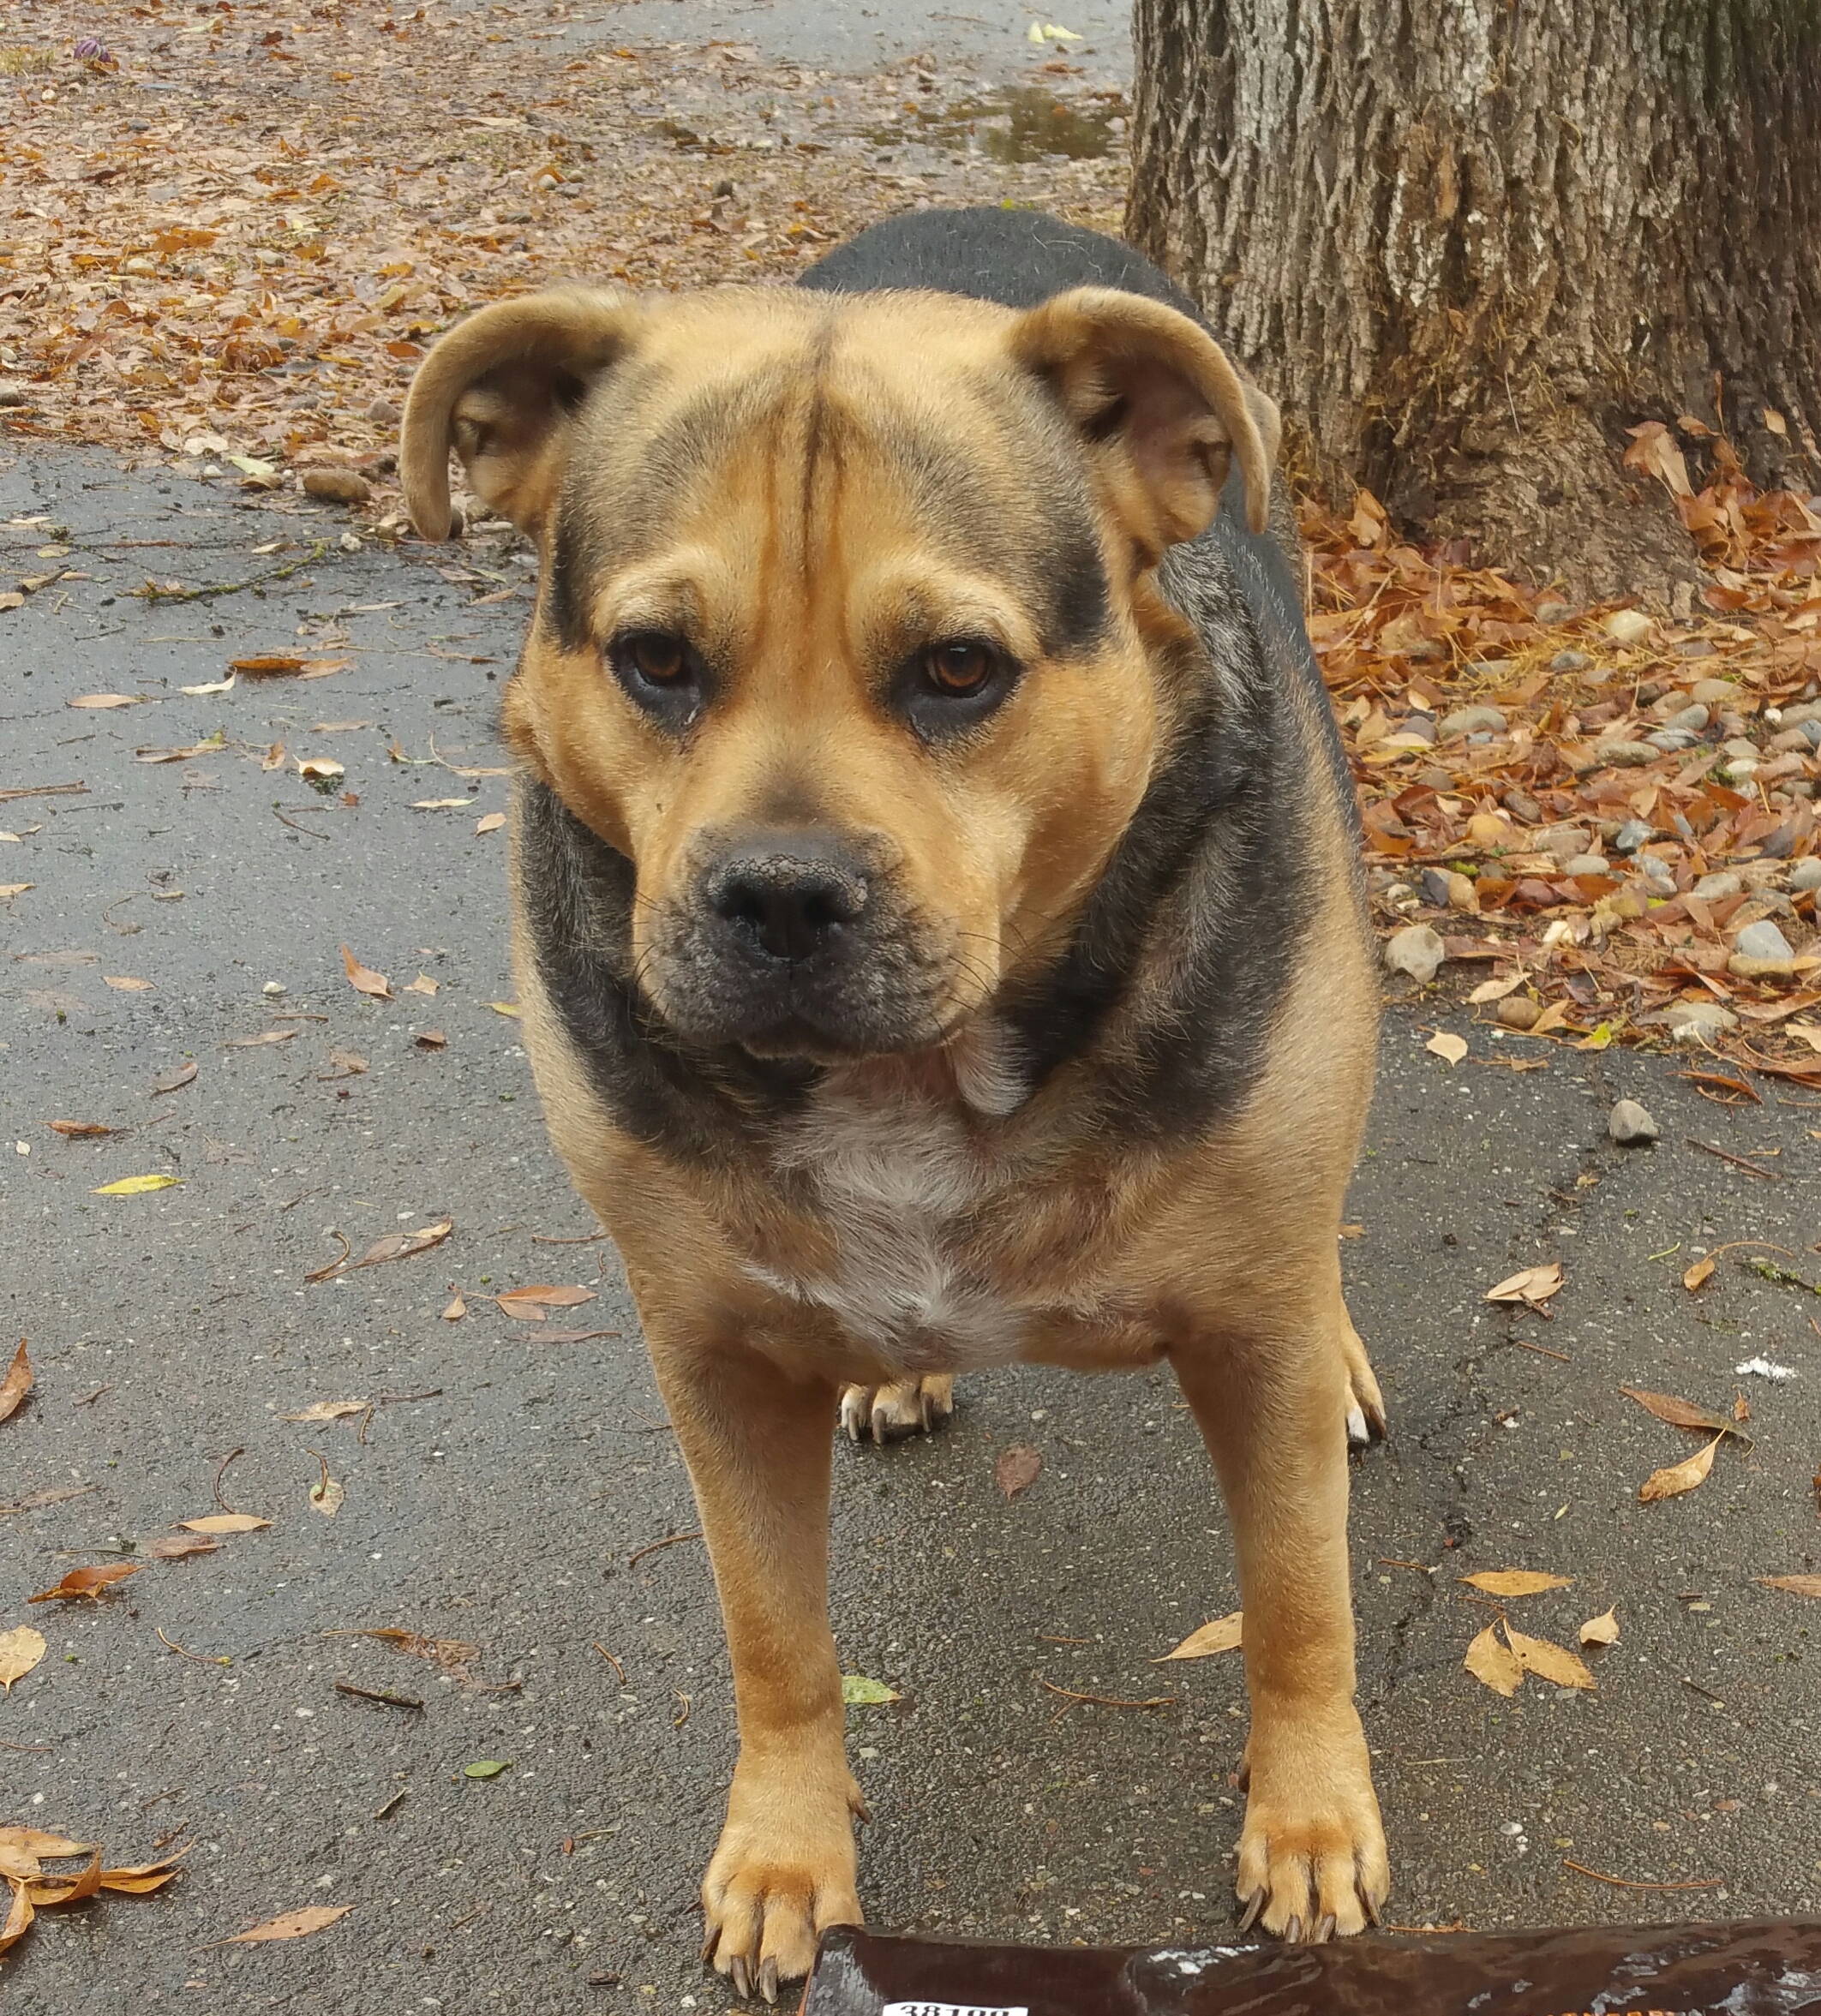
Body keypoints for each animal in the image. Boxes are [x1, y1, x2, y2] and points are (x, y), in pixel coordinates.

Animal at [405, 204, 1387, 2000]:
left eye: (957, 669)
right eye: (655, 660)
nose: (783, 894)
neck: (921, 1068)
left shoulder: (1250, 1328)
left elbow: (1299, 1599)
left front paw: (1309, 1819)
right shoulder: (714, 1358)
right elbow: (773, 1634)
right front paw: (789, 1847)